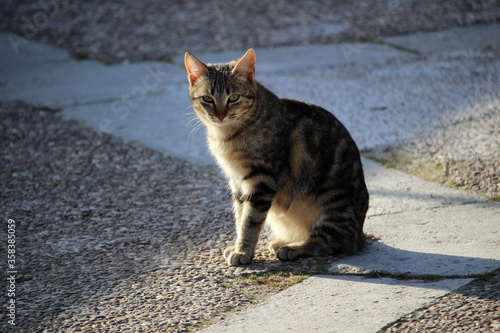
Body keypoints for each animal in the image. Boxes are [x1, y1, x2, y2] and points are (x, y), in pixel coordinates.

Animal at [184, 48, 368, 264]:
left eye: (234, 97)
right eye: (207, 99)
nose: (220, 116)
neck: (226, 136)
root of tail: (360, 235)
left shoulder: (261, 181)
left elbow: (250, 221)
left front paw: (243, 252)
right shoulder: (237, 182)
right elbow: (240, 217)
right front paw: (238, 246)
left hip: (331, 202)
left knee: (331, 242)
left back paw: (293, 248)